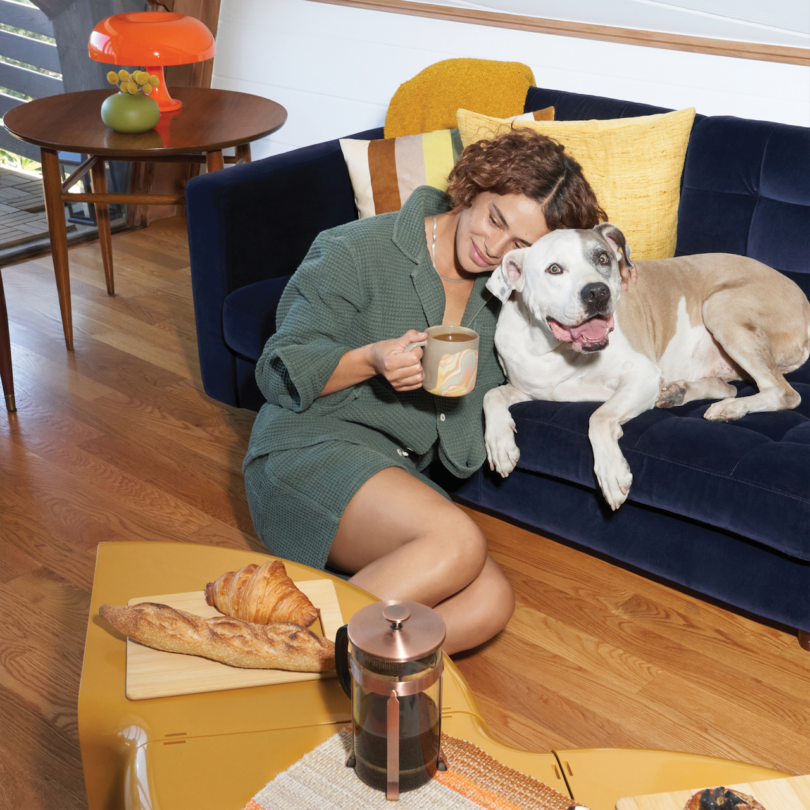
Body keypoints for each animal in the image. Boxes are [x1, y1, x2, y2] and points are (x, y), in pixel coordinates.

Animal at [480, 224, 808, 508]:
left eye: (603, 258)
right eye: (554, 269)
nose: (597, 292)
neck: (553, 350)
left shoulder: (642, 376)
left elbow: (599, 417)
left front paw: (612, 473)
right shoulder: (529, 389)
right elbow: (491, 395)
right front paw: (500, 445)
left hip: (721, 307)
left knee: (783, 393)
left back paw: (730, 409)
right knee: (727, 387)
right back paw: (680, 392)